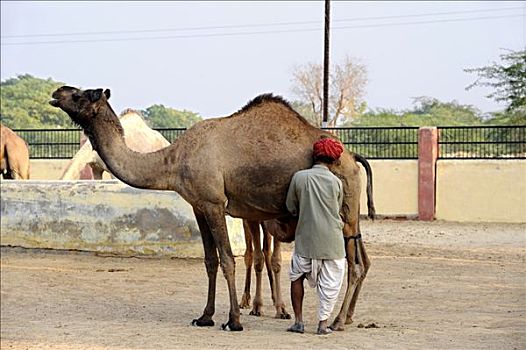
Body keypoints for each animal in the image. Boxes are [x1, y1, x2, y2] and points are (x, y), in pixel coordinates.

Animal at [49, 86, 372, 332]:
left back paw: (337, 321)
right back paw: (341, 318)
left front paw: (234, 320)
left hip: (345, 210)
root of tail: (351, 157)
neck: (174, 160)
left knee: (354, 264)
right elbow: (210, 261)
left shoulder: (215, 203)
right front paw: (205, 316)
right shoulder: (198, 206)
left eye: (81, 94)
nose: (57, 91)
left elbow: (228, 259)